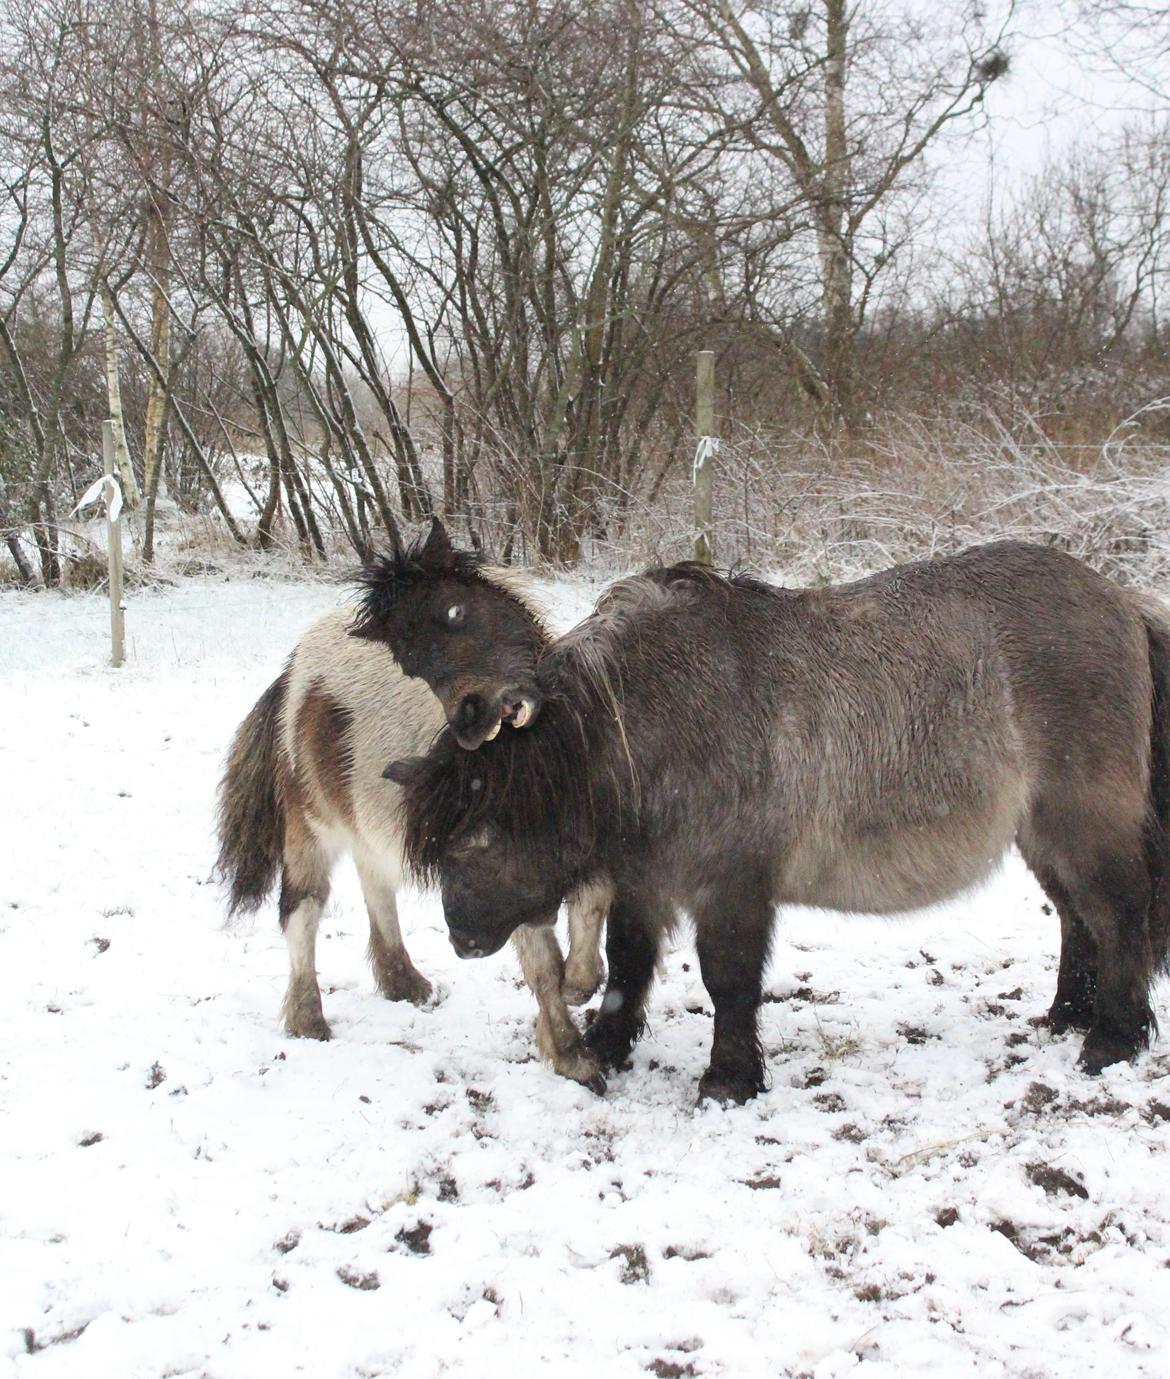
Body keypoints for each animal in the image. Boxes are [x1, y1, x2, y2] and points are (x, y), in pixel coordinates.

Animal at [389, 543, 1170, 1103]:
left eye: (478, 840)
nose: (461, 939)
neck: (654, 716)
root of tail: (1122, 602)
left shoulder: (732, 885)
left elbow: (729, 980)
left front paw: (729, 1080)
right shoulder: (644, 879)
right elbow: (629, 962)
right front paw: (606, 1046)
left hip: (1082, 821)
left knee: (1119, 915)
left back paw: (1111, 1040)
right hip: (1042, 832)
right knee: (1077, 918)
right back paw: (1066, 1015)